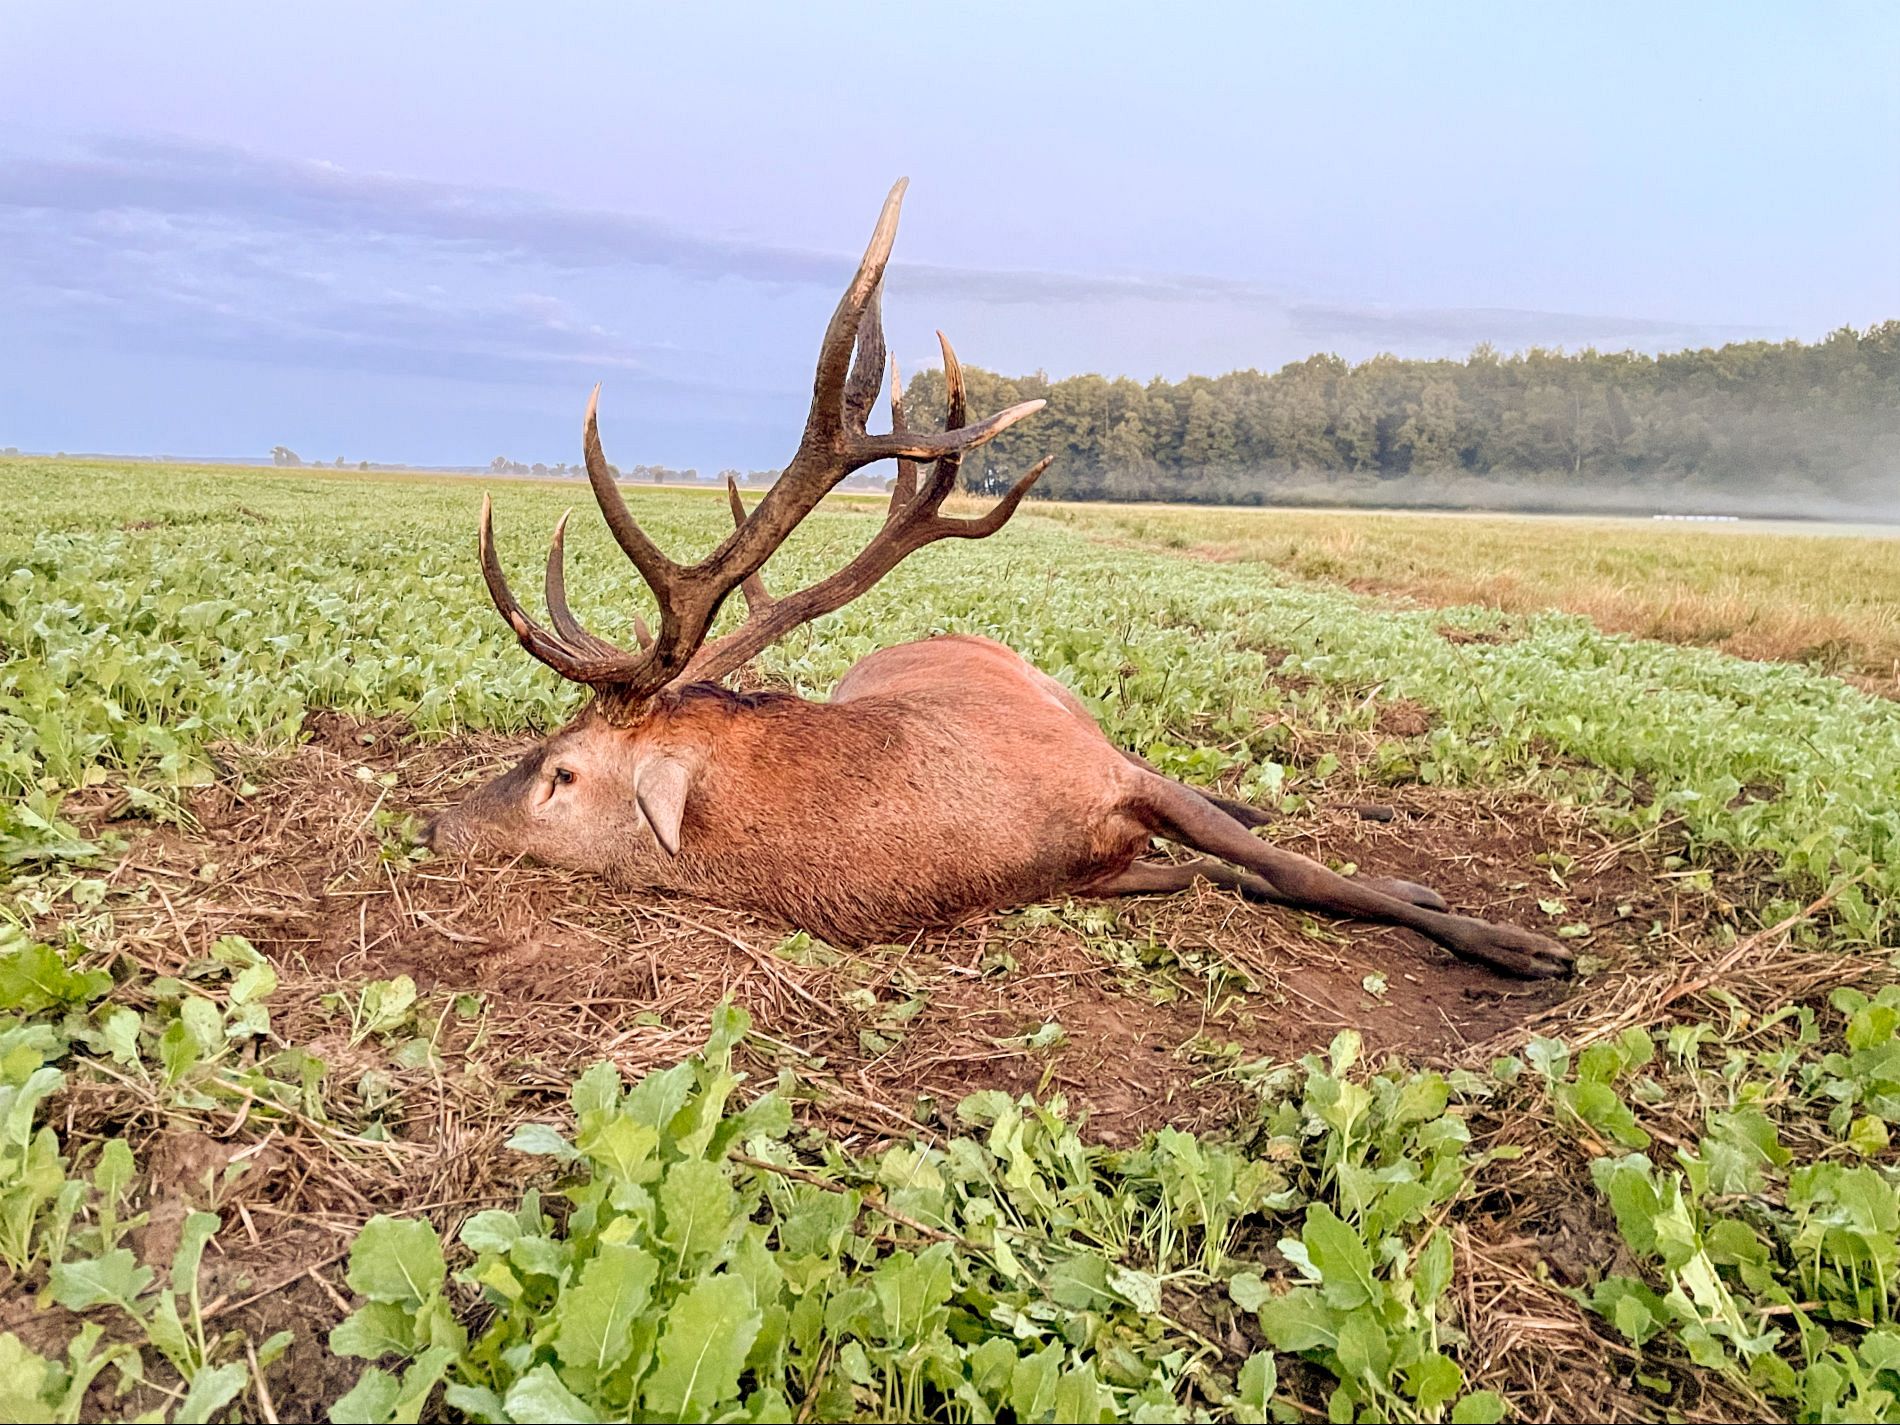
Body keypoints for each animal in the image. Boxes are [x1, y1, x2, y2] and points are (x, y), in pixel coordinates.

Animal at [418, 181, 1572, 981]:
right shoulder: (1099, 863)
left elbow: (1300, 872)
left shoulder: (1103, 774)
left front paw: (1507, 940)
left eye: (561, 771)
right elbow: (1245, 875)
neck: (971, 847)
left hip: (1069, 701)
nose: (436, 825)